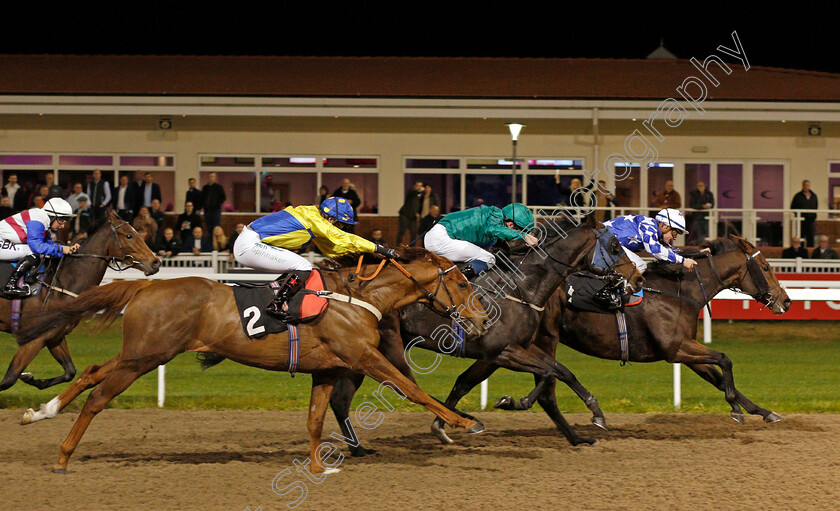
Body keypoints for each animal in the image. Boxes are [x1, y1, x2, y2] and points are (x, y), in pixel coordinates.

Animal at [0, 211, 161, 392]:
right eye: (129, 235)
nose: (156, 262)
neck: (63, 283)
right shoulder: (33, 339)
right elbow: (8, 379)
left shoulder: (55, 336)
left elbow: (70, 371)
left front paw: (32, 378)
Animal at [14, 246, 486, 474]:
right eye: (464, 283)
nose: (483, 319)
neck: (357, 296)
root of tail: (146, 287)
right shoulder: (363, 356)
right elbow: (412, 389)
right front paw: (461, 422)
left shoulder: (328, 369)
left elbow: (315, 420)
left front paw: (318, 467)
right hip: (145, 356)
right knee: (98, 399)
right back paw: (62, 457)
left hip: (142, 352)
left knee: (92, 373)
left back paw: (41, 412)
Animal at [328, 214, 644, 454]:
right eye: (615, 246)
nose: (639, 278)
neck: (521, 287)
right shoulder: (501, 351)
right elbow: (546, 374)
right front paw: (512, 402)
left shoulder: (520, 346)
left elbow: (561, 371)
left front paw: (595, 414)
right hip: (384, 346)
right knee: (399, 384)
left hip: (360, 352)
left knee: (341, 400)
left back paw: (359, 449)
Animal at [520, 236, 792, 428]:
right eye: (766, 267)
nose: (787, 301)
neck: (680, 292)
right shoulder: (675, 349)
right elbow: (725, 359)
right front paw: (735, 409)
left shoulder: (686, 348)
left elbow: (717, 377)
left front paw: (764, 412)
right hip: (546, 337)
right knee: (550, 380)